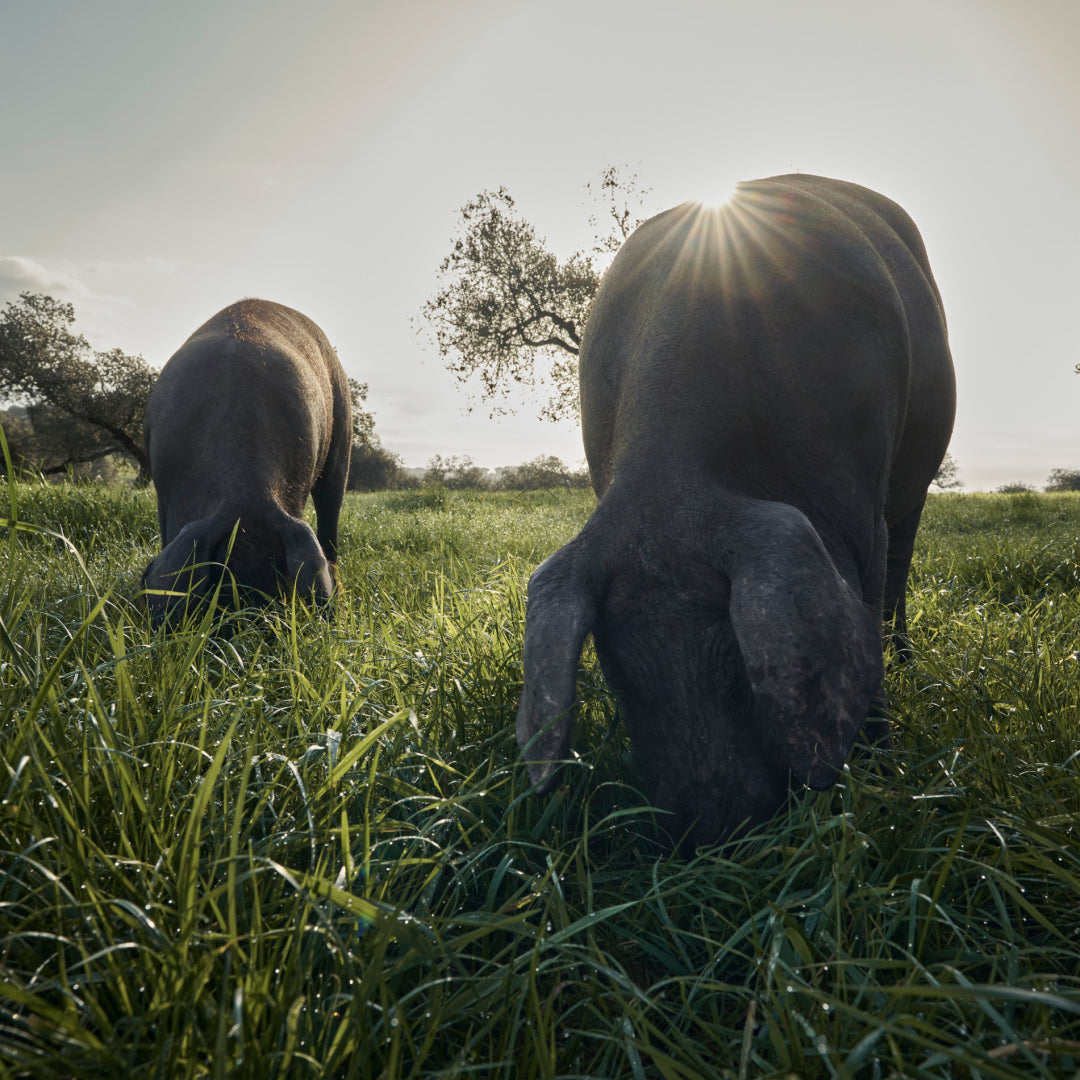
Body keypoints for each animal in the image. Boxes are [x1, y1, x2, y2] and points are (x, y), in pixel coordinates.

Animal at [514, 172, 954, 851]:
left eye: (741, 666)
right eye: (615, 669)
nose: (711, 837)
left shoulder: (863, 509)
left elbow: (870, 599)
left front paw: (884, 771)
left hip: (917, 485)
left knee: (899, 570)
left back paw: (908, 661)